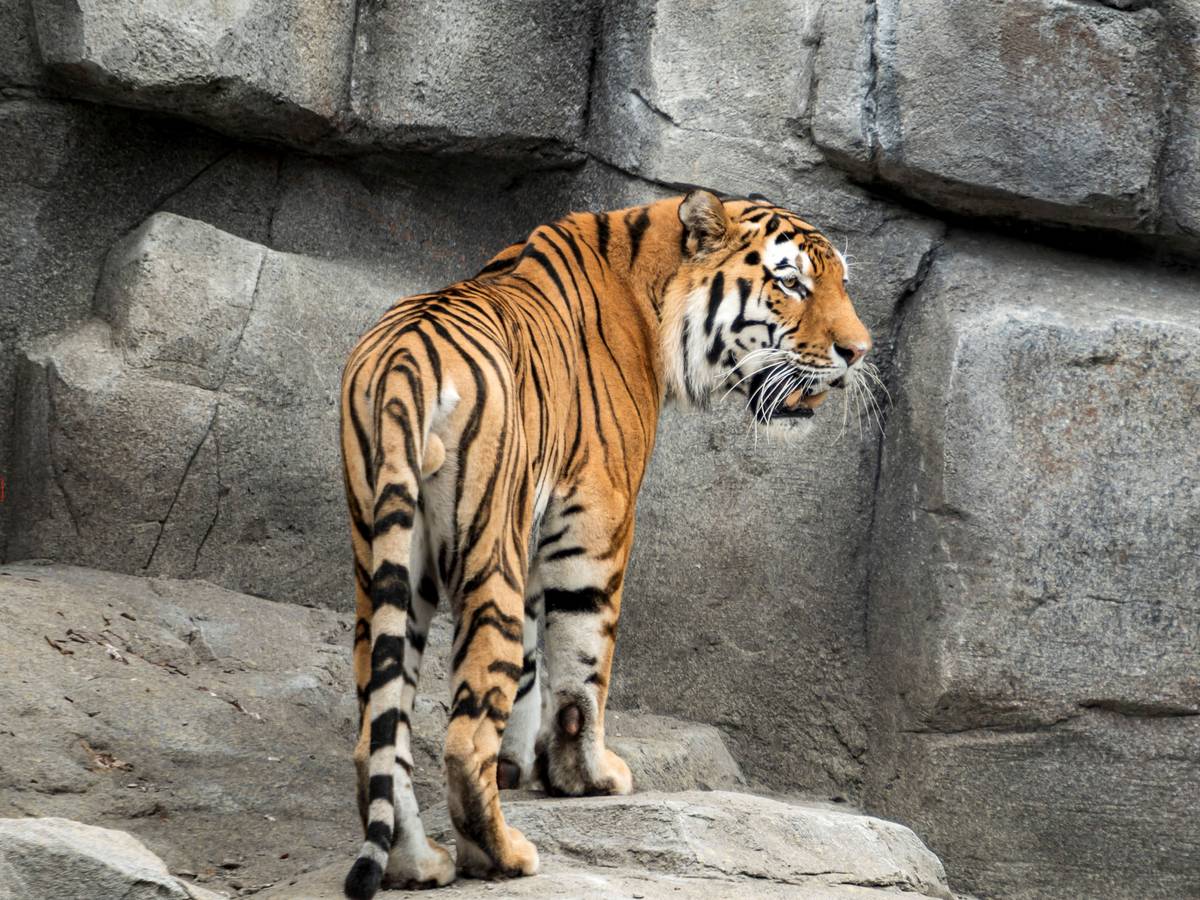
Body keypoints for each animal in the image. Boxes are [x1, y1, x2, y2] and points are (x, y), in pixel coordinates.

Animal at [339, 190, 872, 898]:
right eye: (791, 283)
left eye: (840, 281)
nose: (858, 352)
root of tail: (402, 362)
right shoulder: (597, 517)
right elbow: (583, 665)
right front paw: (586, 778)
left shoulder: (537, 523)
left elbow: (535, 661)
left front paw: (523, 767)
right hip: (485, 548)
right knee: (463, 734)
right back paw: (503, 855)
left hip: (388, 561)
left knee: (379, 731)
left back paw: (418, 864)